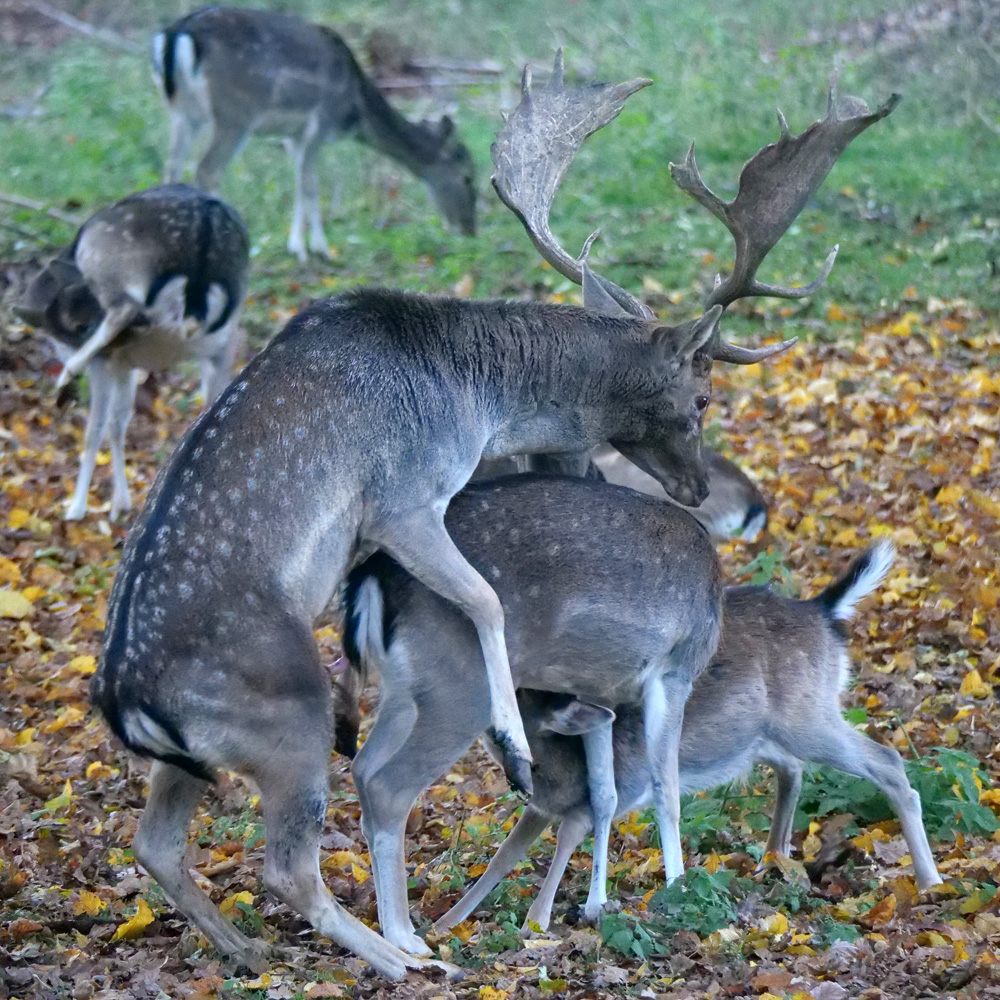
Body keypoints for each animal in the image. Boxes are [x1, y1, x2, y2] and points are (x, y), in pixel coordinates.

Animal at [11, 185, 248, 524]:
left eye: (79, 324)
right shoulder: (127, 364)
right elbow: (118, 421)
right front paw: (119, 504)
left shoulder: (107, 363)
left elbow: (95, 427)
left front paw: (76, 508)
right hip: (224, 339)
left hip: (101, 251)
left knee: (124, 306)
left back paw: (71, 369)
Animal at [154, 7, 478, 258]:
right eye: (468, 176)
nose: (470, 229)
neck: (352, 110)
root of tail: (177, 33)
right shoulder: (319, 123)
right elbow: (312, 184)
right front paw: (319, 249)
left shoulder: (293, 135)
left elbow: (299, 182)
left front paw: (297, 246)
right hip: (234, 114)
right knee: (207, 170)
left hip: (181, 112)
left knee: (172, 165)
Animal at [340, 480, 724, 956]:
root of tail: (370, 579)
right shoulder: (673, 672)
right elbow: (667, 792)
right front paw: (678, 890)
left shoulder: (597, 694)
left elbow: (605, 792)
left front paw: (596, 904)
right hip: (460, 691)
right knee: (388, 785)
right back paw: (404, 936)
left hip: (404, 692)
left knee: (363, 767)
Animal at [432, 536, 944, 932]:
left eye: (523, 699)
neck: (558, 773)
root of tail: (823, 611)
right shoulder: (542, 807)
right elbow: (501, 858)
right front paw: (444, 924)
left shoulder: (600, 798)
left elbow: (566, 841)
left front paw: (539, 921)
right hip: (766, 734)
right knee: (794, 769)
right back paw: (772, 860)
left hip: (807, 718)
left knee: (886, 761)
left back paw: (929, 880)